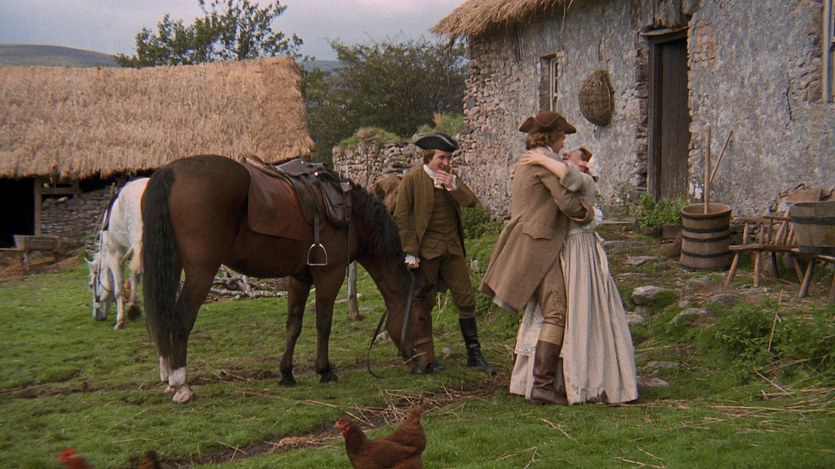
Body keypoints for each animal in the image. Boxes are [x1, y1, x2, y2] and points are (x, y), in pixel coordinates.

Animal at [88, 177, 148, 330]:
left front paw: (121, 319)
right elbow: (134, 277)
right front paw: (133, 306)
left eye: (91, 285)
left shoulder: (114, 256)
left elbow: (119, 288)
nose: (96, 316)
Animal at [141, 155, 438, 403]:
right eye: (422, 317)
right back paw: (181, 384)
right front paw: (325, 370)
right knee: (181, 317)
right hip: (201, 271)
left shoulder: (300, 277)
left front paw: (286, 373)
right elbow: (323, 322)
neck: (352, 216)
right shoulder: (330, 273)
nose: (428, 365)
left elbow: (293, 324)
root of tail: (169, 171)